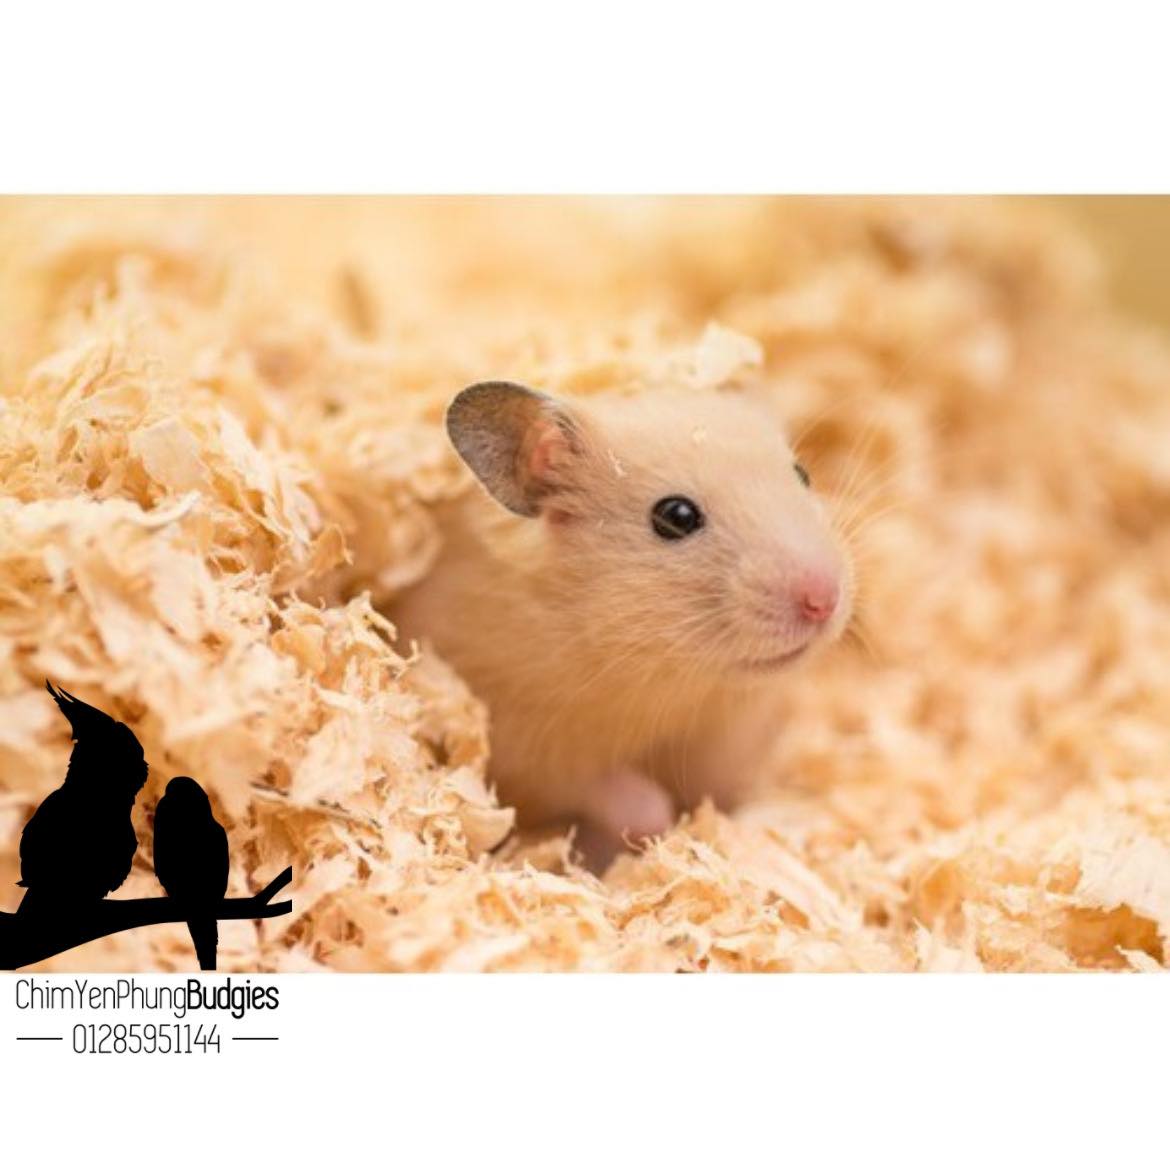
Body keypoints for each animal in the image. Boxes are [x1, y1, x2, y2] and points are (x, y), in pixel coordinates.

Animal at [393, 381, 852, 859]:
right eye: (675, 516)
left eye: (802, 474)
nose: (824, 600)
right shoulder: (516, 738)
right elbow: (606, 789)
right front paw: (656, 824)